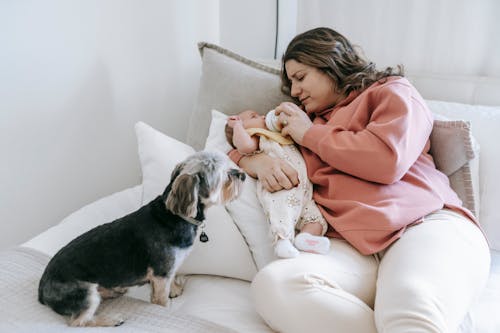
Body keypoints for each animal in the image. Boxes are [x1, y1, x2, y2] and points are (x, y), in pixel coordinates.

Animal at [37, 151, 244, 326]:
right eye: (225, 176)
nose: (242, 175)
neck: (175, 215)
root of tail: (42, 290)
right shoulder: (161, 275)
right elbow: (161, 299)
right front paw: (166, 303)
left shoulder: (169, 269)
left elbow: (173, 277)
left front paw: (175, 289)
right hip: (83, 293)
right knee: (78, 321)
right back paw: (110, 320)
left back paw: (113, 291)